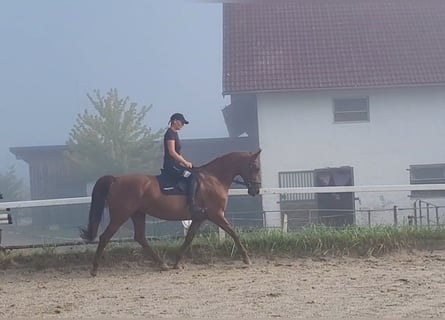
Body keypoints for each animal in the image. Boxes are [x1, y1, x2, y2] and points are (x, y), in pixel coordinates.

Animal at [80, 149, 260, 276]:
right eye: (255, 167)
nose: (255, 190)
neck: (213, 179)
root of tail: (115, 179)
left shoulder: (199, 218)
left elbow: (189, 238)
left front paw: (176, 262)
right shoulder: (216, 214)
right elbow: (234, 233)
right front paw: (246, 259)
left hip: (138, 214)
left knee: (140, 237)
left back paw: (162, 264)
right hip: (120, 215)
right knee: (105, 237)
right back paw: (94, 269)